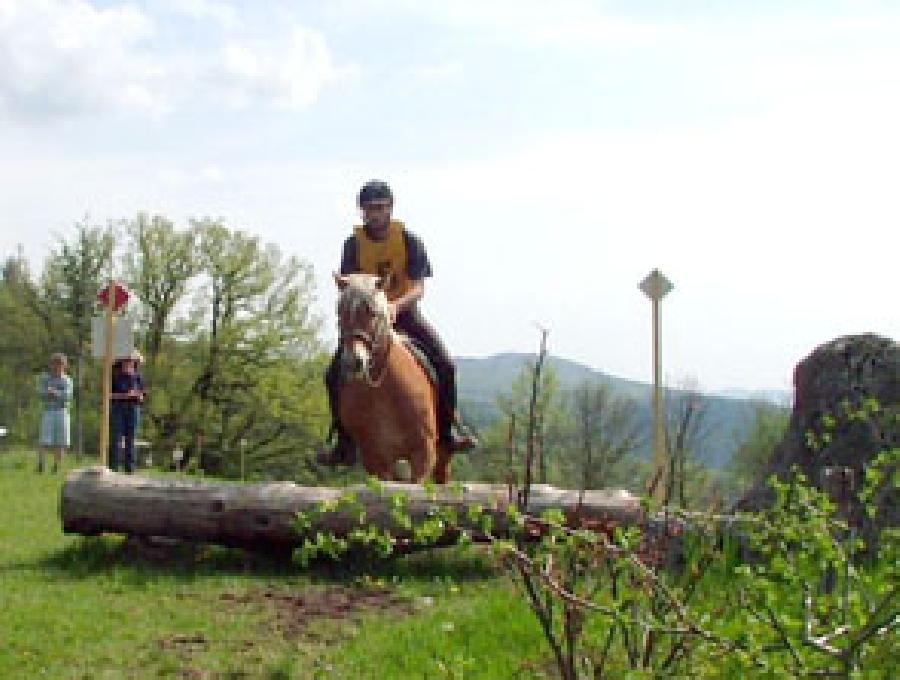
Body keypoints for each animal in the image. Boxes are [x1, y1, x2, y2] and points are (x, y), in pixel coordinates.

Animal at [334, 272, 454, 484]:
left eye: (372, 313)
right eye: (339, 312)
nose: (352, 361)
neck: (386, 390)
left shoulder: (423, 454)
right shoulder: (377, 459)